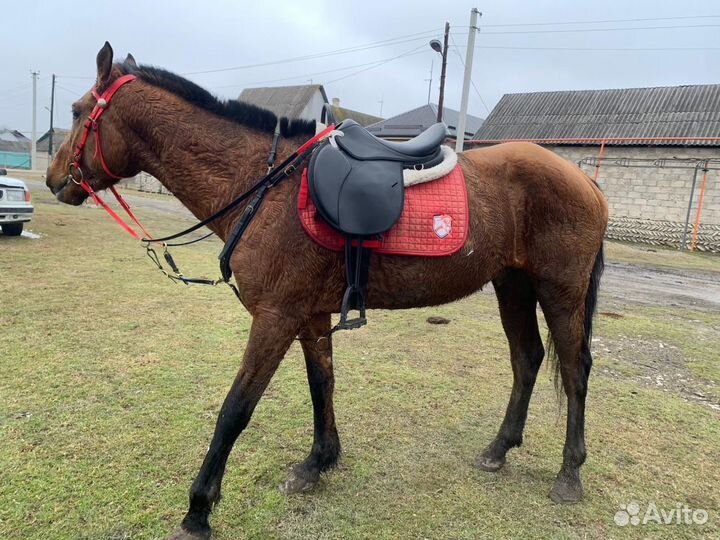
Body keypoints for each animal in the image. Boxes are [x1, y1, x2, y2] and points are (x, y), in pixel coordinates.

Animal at [46, 42, 608, 540]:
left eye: (76, 111)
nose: (54, 179)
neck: (262, 187)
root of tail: (586, 182)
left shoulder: (275, 316)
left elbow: (235, 410)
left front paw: (198, 511)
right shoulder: (309, 315)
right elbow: (323, 385)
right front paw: (319, 462)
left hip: (560, 291)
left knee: (575, 370)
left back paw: (569, 474)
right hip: (512, 285)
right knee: (527, 358)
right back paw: (499, 448)